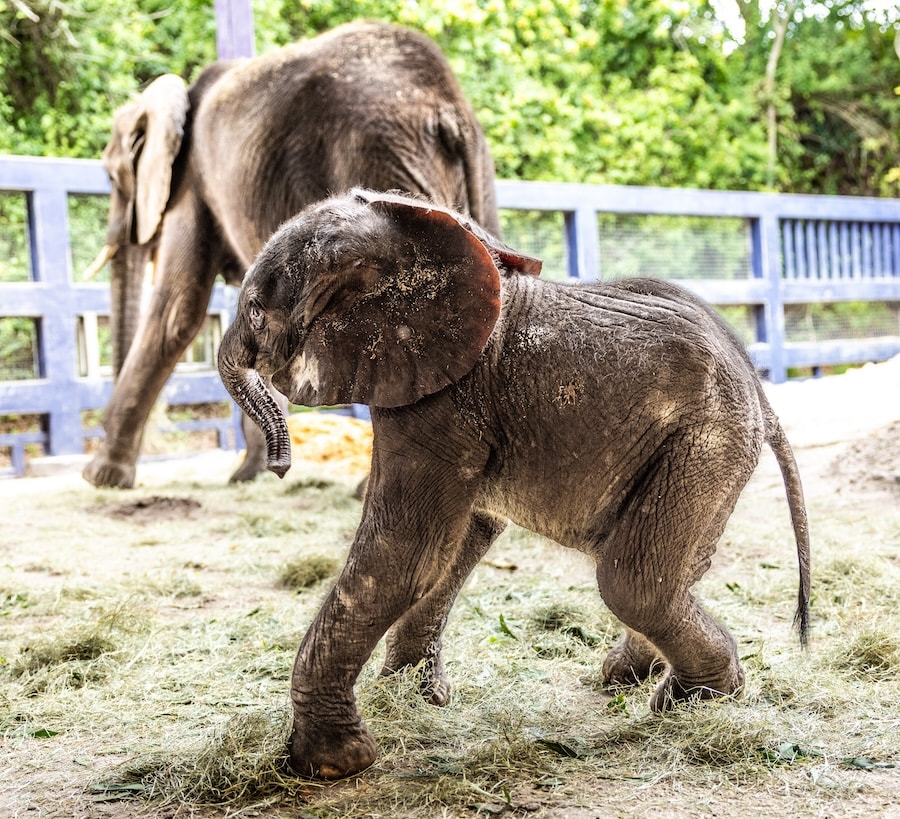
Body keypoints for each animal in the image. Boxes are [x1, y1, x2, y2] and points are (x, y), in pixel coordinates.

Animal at [82, 19, 500, 490]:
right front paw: (248, 476)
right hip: (470, 168)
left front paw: (100, 478)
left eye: (112, 177)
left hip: (377, 153)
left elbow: (176, 310)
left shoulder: (191, 181)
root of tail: (444, 104)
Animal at [216, 189, 808, 780]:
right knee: (676, 566)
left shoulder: (442, 400)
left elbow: (408, 554)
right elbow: (459, 542)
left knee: (632, 580)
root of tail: (760, 391)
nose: (280, 468)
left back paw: (691, 700)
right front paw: (414, 699)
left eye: (255, 310)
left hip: (705, 439)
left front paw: (331, 763)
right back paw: (627, 675)